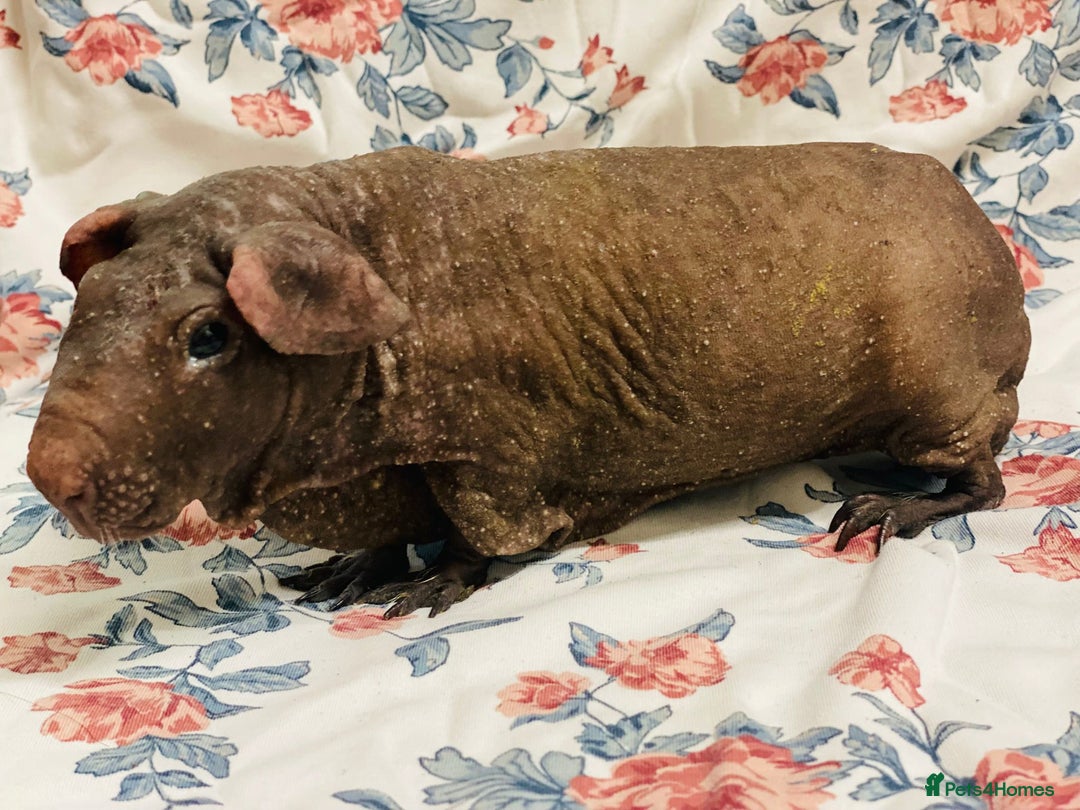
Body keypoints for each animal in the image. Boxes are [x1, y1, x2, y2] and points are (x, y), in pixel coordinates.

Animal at [27, 143, 1030, 616]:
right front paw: (351, 571)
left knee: (985, 482)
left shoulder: (488, 455)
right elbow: (388, 531)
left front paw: (431, 587)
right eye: (88, 303)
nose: (47, 476)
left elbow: (480, 532)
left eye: (206, 335)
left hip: (934, 403)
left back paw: (886, 508)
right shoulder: (375, 474)